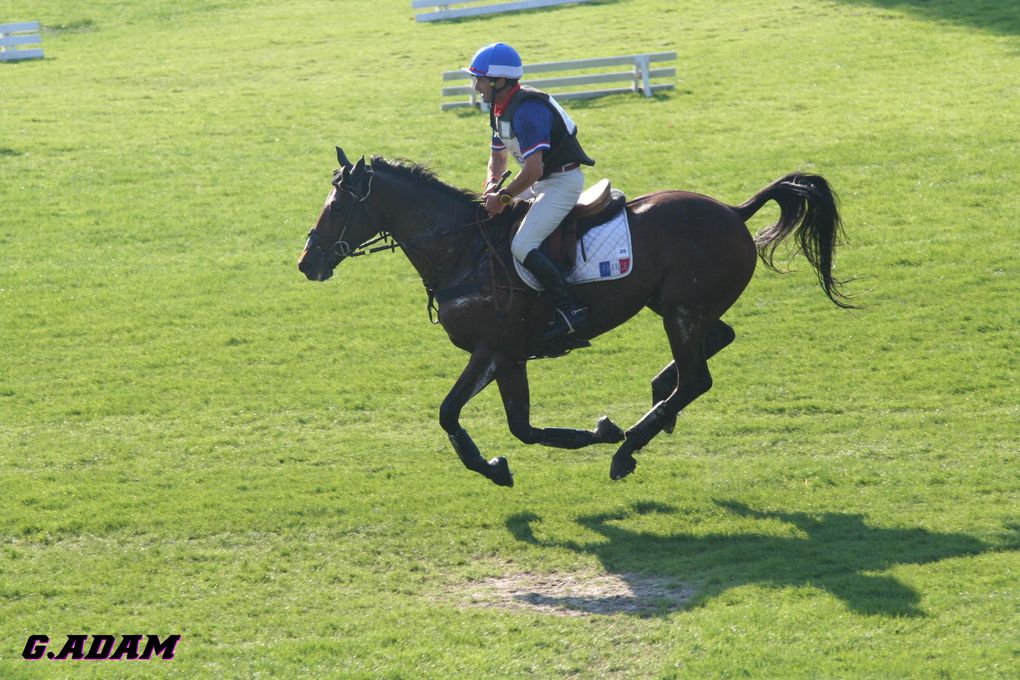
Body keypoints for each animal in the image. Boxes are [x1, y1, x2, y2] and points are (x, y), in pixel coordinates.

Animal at [297, 147, 852, 489]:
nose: (307, 262)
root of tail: (734, 211)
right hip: (679, 307)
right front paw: (496, 467)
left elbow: (503, 422)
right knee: (715, 343)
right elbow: (469, 417)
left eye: (338, 206)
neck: (463, 250)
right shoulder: (499, 356)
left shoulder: (500, 350)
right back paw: (658, 402)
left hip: (681, 311)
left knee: (697, 378)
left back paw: (629, 446)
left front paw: (603, 433)